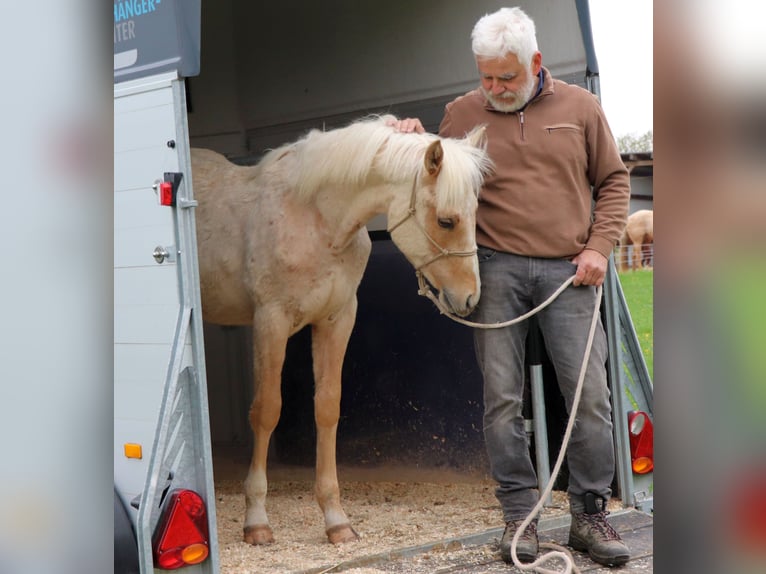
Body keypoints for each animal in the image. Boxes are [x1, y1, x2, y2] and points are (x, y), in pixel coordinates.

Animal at [192, 114, 492, 545]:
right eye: (446, 220)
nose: (469, 298)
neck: (316, 220)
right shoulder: (271, 322)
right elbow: (267, 411)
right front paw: (257, 520)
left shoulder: (338, 319)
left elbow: (328, 408)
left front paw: (336, 520)